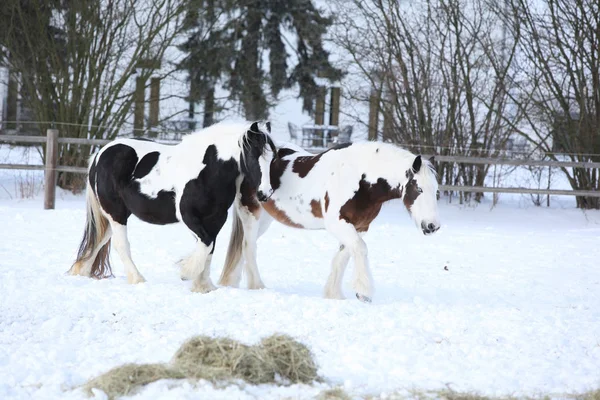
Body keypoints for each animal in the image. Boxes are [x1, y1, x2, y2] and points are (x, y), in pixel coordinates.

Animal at [69, 120, 276, 292]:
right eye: (253, 155)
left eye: (273, 157)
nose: (264, 193)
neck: (208, 169)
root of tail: (100, 154)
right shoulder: (189, 216)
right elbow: (206, 244)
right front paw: (187, 273)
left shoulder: (216, 218)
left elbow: (209, 248)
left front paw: (203, 285)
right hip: (115, 213)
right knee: (121, 245)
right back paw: (137, 279)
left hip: (112, 215)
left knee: (100, 239)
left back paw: (81, 271)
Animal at [220, 142, 440, 302]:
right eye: (419, 189)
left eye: (436, 190)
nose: (432, 226)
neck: (360, 179)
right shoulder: (338, 223)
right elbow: (360, 249)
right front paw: (364, 291)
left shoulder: (359, 226)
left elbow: (343, 257)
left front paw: (334, 294)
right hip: (251, 212)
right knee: (249, 247)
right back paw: (257, 285)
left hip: (264, 219)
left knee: (242, 247)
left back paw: (231, 282)